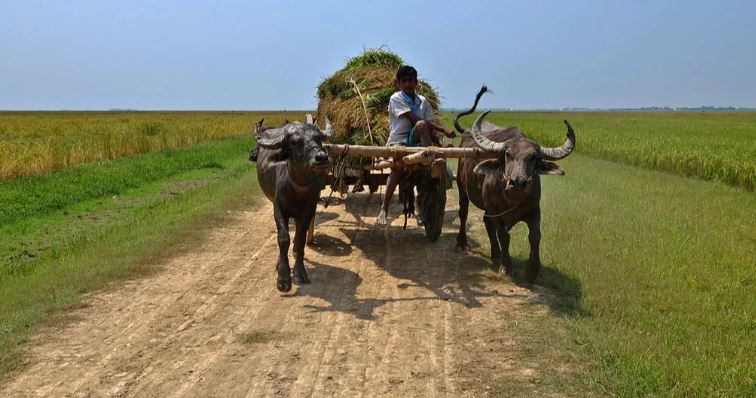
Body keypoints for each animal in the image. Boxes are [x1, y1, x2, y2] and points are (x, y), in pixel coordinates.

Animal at [251, 119, 330, 290]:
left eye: (319, 138)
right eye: (294, 142)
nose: (321, 157)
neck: (297, 189)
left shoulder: (309, 210)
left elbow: (300, 239)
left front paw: (299, 271)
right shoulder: (278, 208)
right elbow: (283, 237)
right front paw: (283, 278)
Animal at [454, 104, 572, 282]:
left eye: (533, 157)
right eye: (508, 154)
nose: (518, 182)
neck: (511, 198)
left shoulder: (534, 210)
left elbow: (535, 236)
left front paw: (532, 271)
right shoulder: (496, 212)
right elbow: (504, 236)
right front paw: (506, 266)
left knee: (486, 220)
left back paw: (495, 253)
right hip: (462, 188)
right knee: (463, 213)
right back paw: (462, 243)